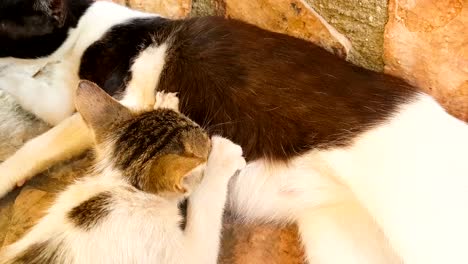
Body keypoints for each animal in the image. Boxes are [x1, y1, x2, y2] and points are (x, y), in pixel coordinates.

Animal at [0, 80, 247, 264]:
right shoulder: (182, 255)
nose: (209, 139)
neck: (120, 184)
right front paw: (221, 158)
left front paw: (165, 102)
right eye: (205, 138)